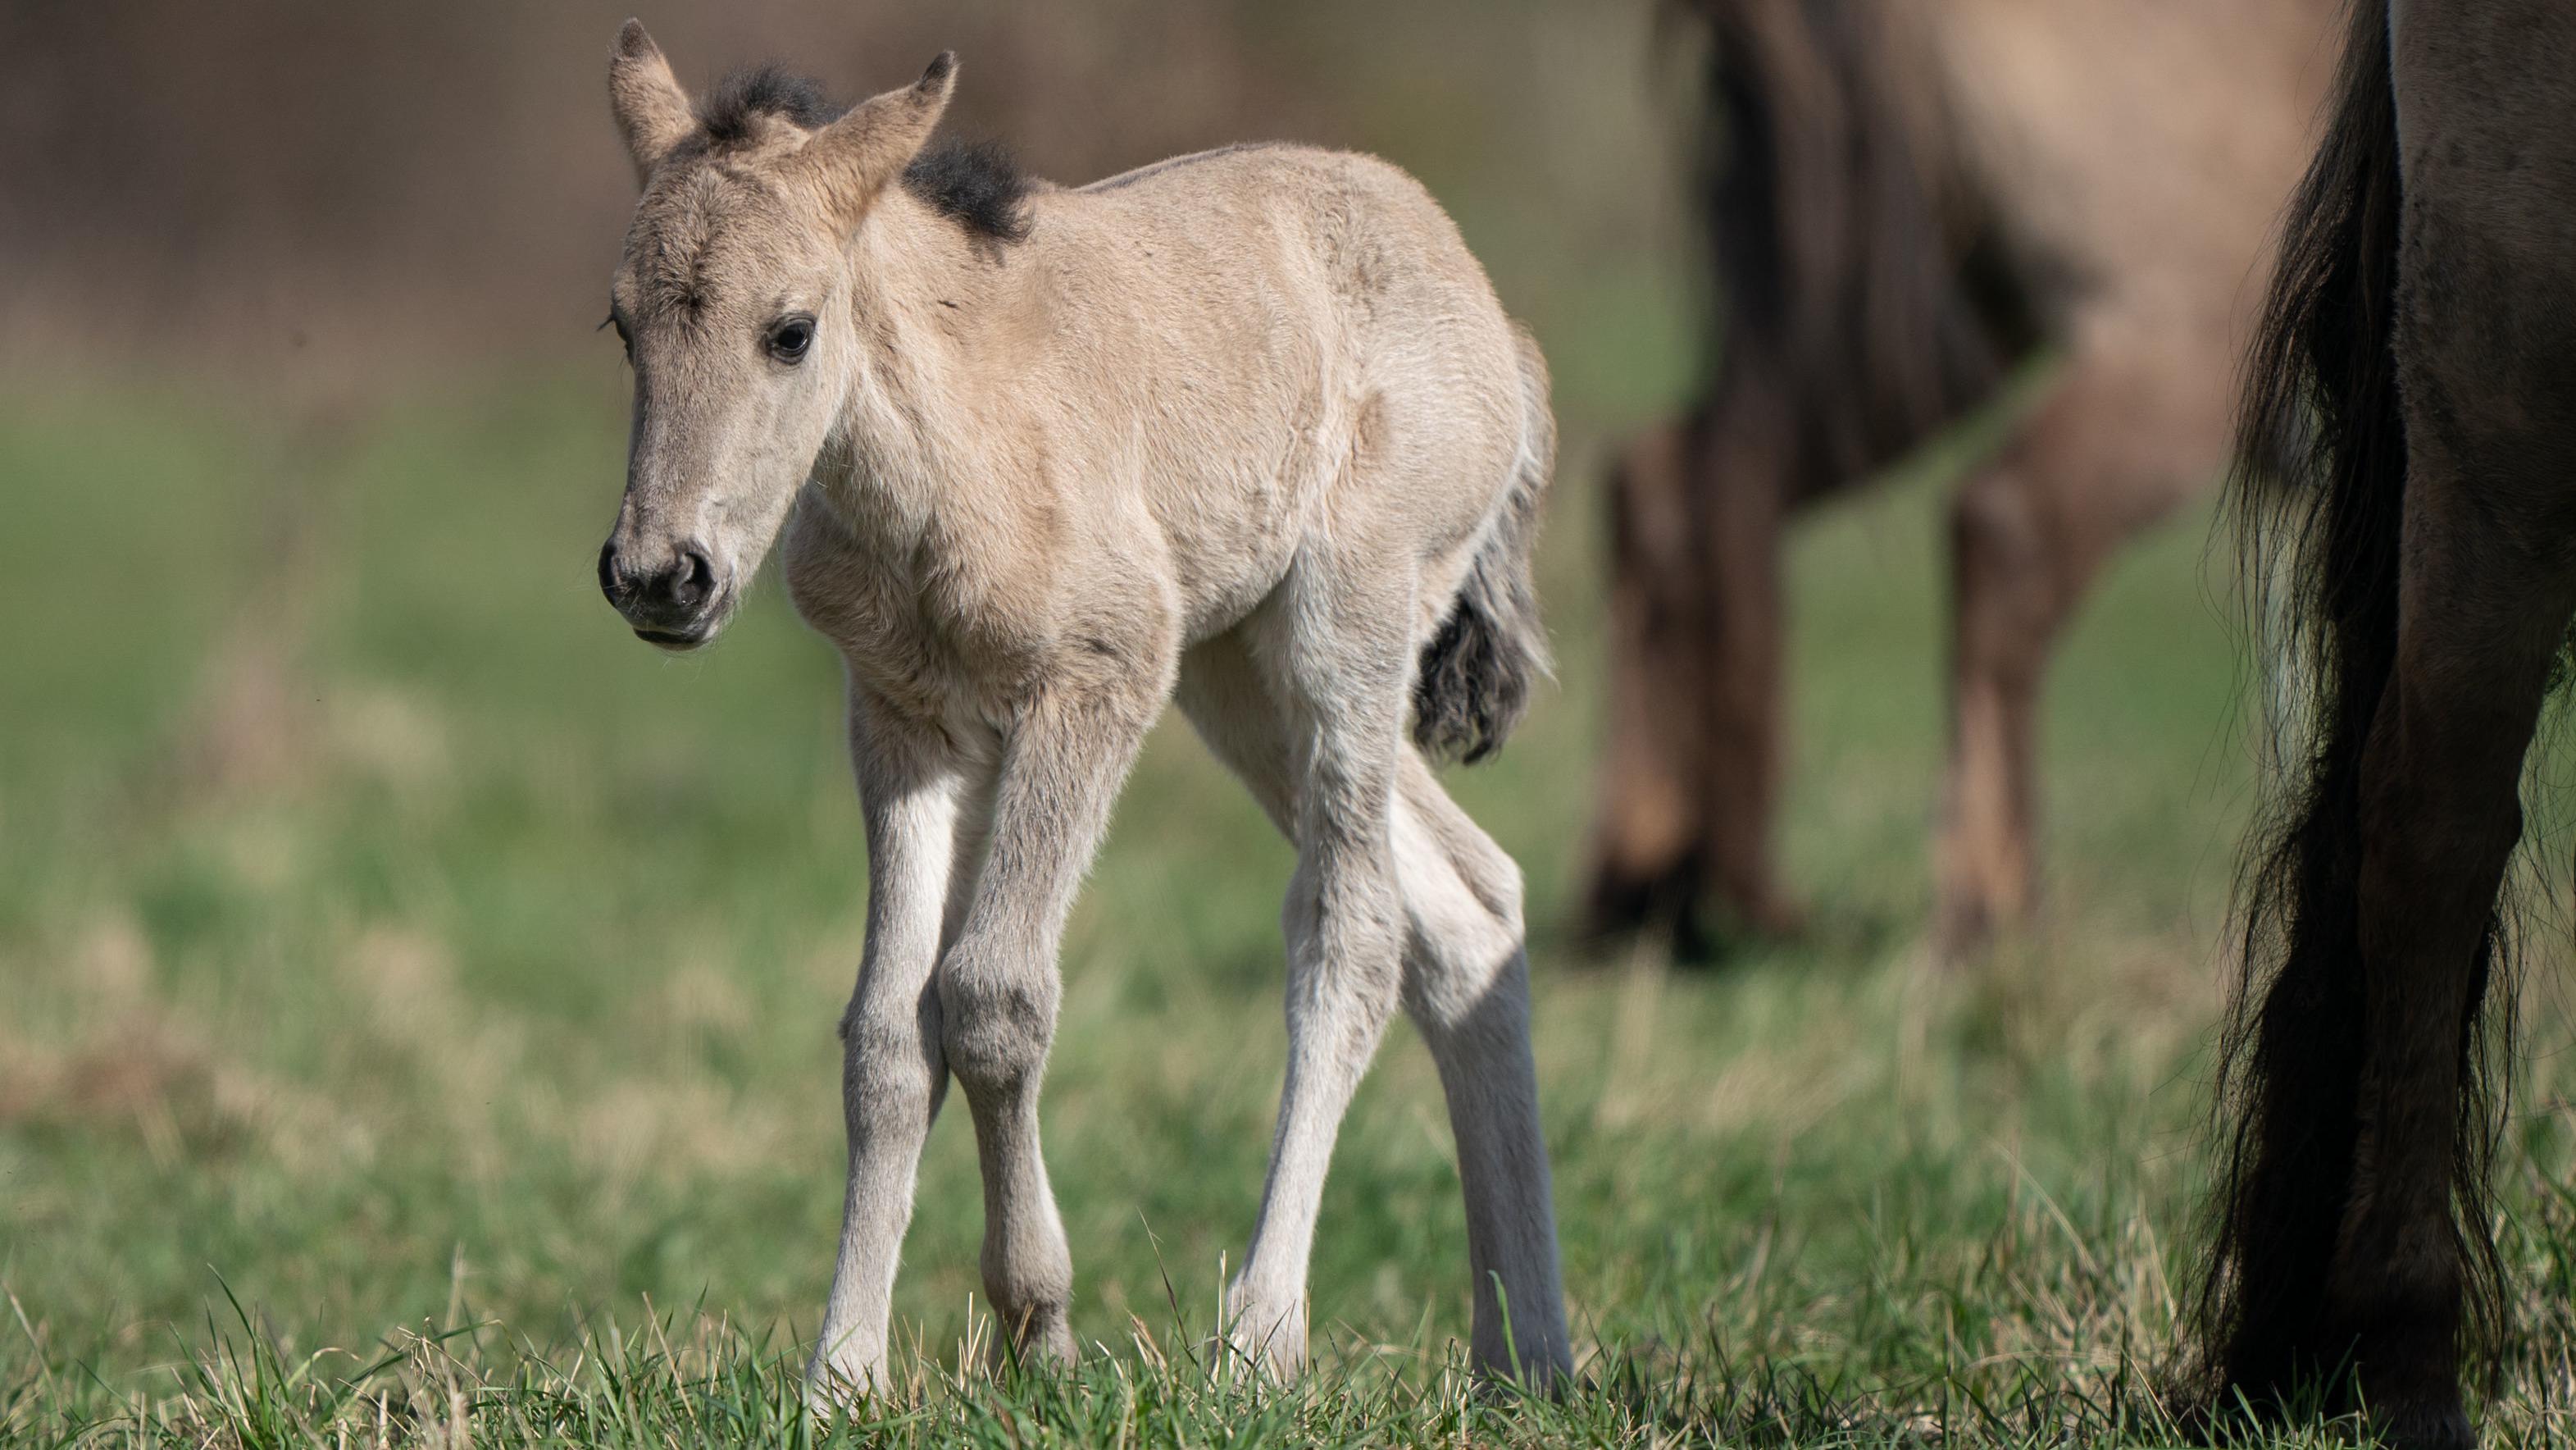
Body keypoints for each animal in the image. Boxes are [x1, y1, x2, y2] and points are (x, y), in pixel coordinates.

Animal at [594, 22, 1576, 1401]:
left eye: (788, 331)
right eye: (622, 325)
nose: (657, 576)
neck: (950, 436)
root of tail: (1497, 327)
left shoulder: (1095, 682)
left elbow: (994, 998)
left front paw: (1040, 1328)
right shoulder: (902, 720)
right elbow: (887, 1037)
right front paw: (843, 1370)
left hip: (1350, 627)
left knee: (1355, 931)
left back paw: (1260, 1337)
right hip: (1236, 674)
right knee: (1468, 909)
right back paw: (1523, 1356)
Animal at [1576, 0, 2349, 952]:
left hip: (1909, 311)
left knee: (1666, 485)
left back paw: (1639, 879)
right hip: (2176, 331)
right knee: (2004, 527)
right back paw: (1992, 908)